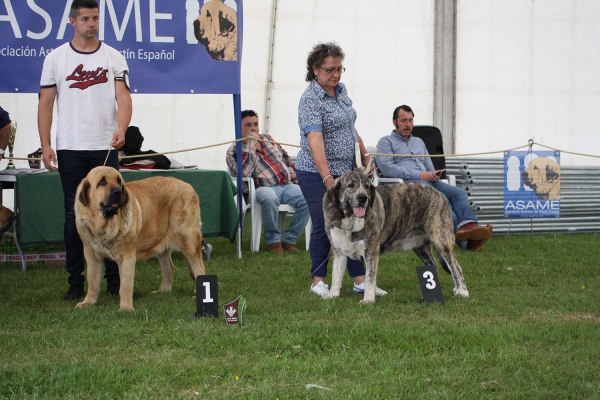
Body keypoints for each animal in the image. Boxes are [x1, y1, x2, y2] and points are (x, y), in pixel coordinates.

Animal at [74, 167, 206, 310]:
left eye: (118, 181)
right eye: (102, 182)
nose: (118, 191)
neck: (104, 227)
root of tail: (188, 186)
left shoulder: (127, 257)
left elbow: (125, 285)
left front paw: (125, 308)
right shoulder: (91, 255)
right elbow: (93, 282)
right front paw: (88, 302)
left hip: (188, 242)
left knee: (199, 267)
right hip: (161, 245)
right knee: (169, 268)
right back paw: (162, 291)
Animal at [324, 170, 468, 304]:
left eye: (366, 186)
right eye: (350, 185)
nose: (363, 197)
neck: (348, 222)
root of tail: (437, 192)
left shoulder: (371, 251)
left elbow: (370, 278)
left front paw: (368, 300)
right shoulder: (338, 252)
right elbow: (336, 276)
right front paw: (332, 295)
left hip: (441, 240)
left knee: (456, 267)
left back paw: (462, 291)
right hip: (421, 248)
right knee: (434, 265)